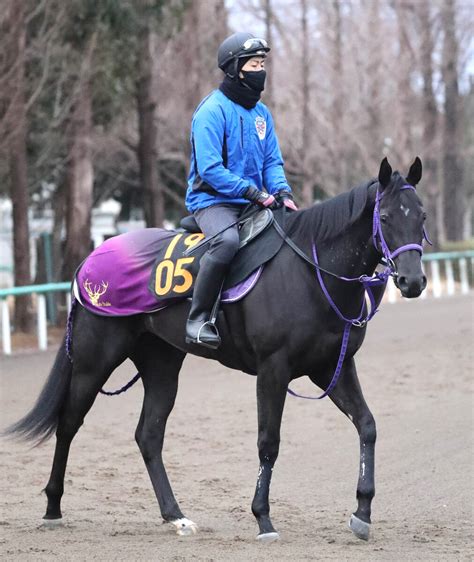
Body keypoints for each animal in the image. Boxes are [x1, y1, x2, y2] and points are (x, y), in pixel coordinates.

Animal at [5, 155, 428, 540]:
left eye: (421, 216)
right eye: (385, 217)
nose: (413, 281)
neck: (311, 271)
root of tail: (89, 261)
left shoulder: (331, 367)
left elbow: (367, 425)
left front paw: (362, 512)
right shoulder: (273, 369)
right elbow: (268, 442)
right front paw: (263, 519)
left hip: (161, 364)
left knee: (148, 435)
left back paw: (176, 516)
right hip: (94, 361)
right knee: (68, 424)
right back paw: (53, 507)